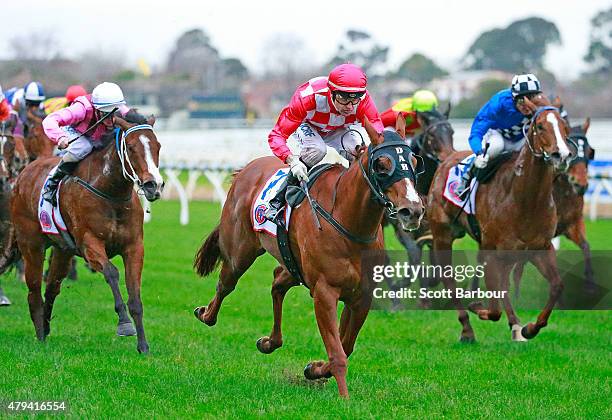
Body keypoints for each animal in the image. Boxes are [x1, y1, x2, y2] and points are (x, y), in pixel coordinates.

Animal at [0, 114, 164, 352]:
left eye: (157, 146)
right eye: (132, 148)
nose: (154, 186)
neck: (110, 192)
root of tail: (24, 174)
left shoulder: (134, 248)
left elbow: (135, 297)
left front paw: (143, 346)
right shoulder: (90, 243)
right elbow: (111, 272)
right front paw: (124, 324)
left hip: (63, 250)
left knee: (52, 287)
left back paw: (46, 328)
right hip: (31, 245)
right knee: (34, 291)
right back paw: (40, 335)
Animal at [194, 120, 424, 398]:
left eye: (414, 161)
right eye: (382, 165)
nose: (412, 210)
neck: (349, 222)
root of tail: (246, 169)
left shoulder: (360, 295)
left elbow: (346, 344)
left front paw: (315, 370)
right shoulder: (325, 292)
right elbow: (338, 353)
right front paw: (344, 397)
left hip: (295, 265)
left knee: (277, 282)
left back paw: (270, 342)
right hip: (240, 252)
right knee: (226, 283)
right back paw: (206, 314)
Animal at [426, 97, 572, 342]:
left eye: (565, 126)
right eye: (540, 125)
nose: (561, 155)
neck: (525, 199)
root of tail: (447, 158)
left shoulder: (539, 247)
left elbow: (557, 286)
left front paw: (529, 328)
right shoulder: (491, 249)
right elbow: (493, 309)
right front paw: (477, 307)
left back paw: (515, 325)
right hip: (443, 235)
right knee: (449, 280)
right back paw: (467, 329)